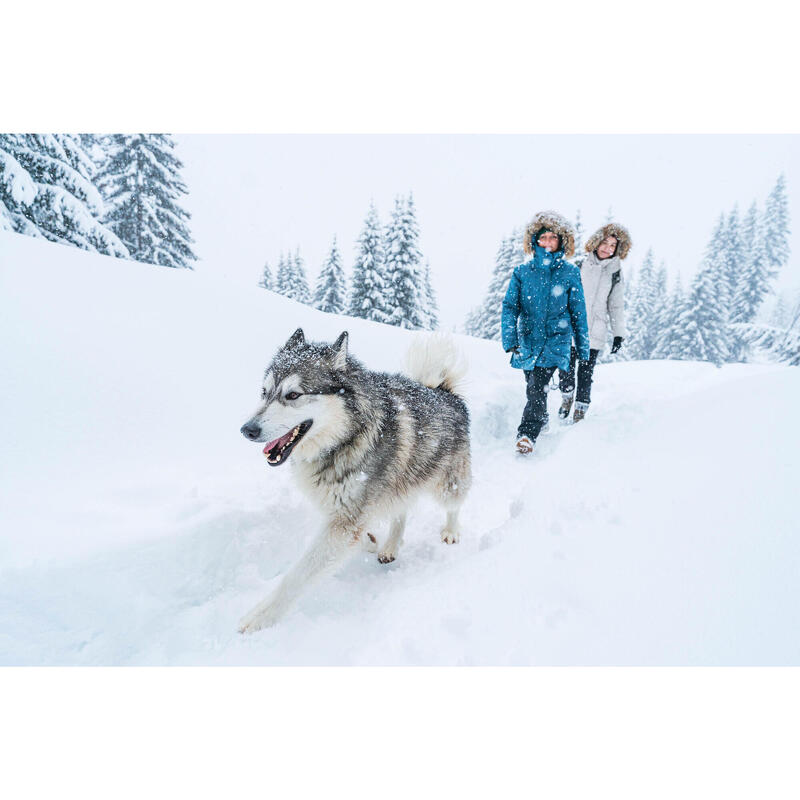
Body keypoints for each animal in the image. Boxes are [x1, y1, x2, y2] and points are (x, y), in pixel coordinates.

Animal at [239, 328, 476, 636]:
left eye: (293, 395)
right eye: (264, 392)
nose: (247, 430)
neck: (344, 439)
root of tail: (442, 390)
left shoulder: (346, 519)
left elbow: (297, 575)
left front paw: (260, 616)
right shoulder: (346, 514)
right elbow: (360, 531)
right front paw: (371, 540)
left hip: (447, 485)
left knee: (453, 506)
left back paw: (450, 531)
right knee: (400, 511)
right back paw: (390, 545)